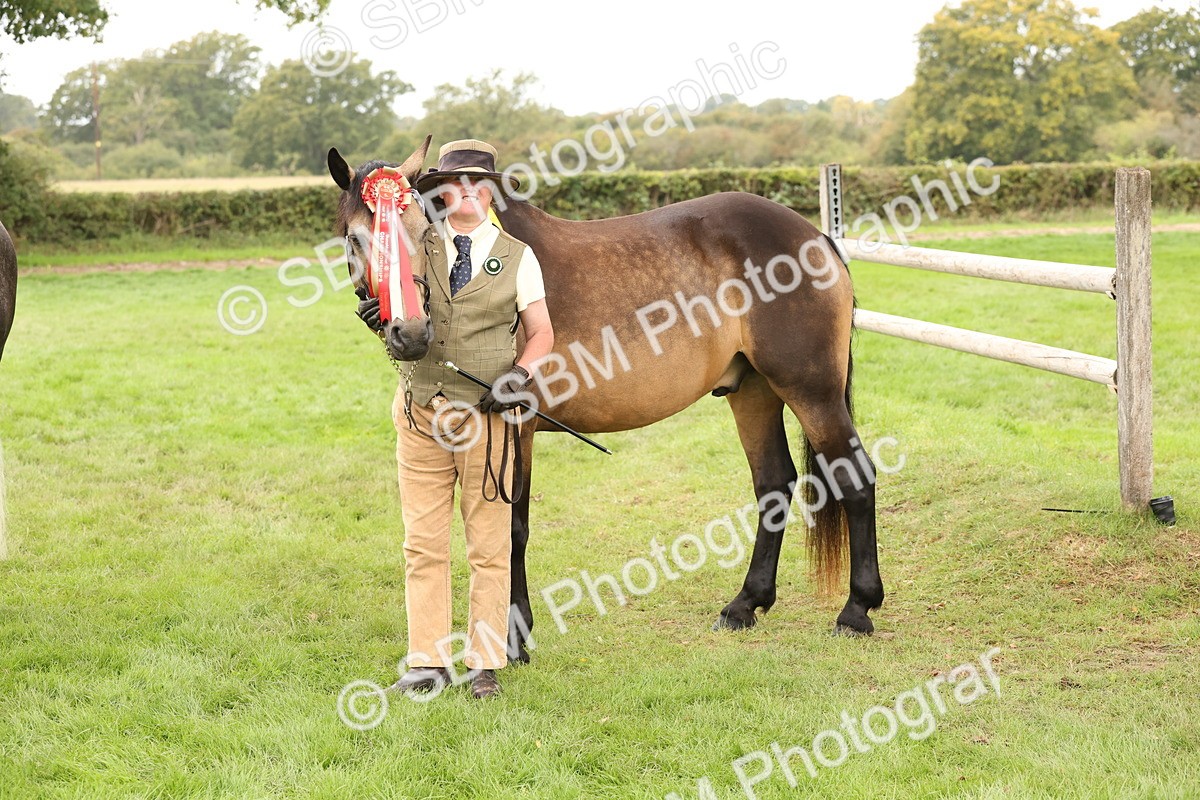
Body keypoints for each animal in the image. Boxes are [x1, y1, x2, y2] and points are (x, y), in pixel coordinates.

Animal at [329, 137, 884, 662]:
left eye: (423, 232)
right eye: (356, 238)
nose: (410, 335)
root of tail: (815, 237)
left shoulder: (516, 424)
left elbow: (512, 528)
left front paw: (514, 638)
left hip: (811, 391)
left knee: (854, 477)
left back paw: (857, 609)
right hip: (753, 392)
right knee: (773, 483)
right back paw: (745, 604)